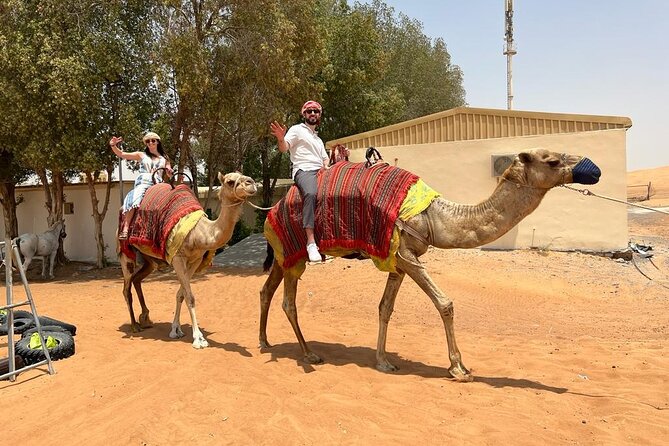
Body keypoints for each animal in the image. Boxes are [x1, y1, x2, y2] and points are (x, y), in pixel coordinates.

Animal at [119, 171, 257, 348]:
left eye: (243, 176)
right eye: (230, 181)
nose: (251, 183)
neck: (199, 233)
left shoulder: (195, 260)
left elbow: (181, 294)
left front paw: (175, 329)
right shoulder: (177, 258)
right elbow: (190, 296)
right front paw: (198, 338)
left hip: (149, 259)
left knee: (137, 279)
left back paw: (146, 319)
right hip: (125, 252)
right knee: (126, 288)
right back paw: (135, 326)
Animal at [259, 148, 601, 382]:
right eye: (552, 160)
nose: (593, 168)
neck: (433, 216)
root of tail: (271, 210)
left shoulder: (398, 261)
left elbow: (385, 308)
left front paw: (383, 361)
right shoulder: (406, 255)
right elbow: (445, 304)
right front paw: (459, 368)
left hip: (283, 256)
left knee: (266, 291)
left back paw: (264, 342)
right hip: (294, 255)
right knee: (288, 301)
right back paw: (308, 354)